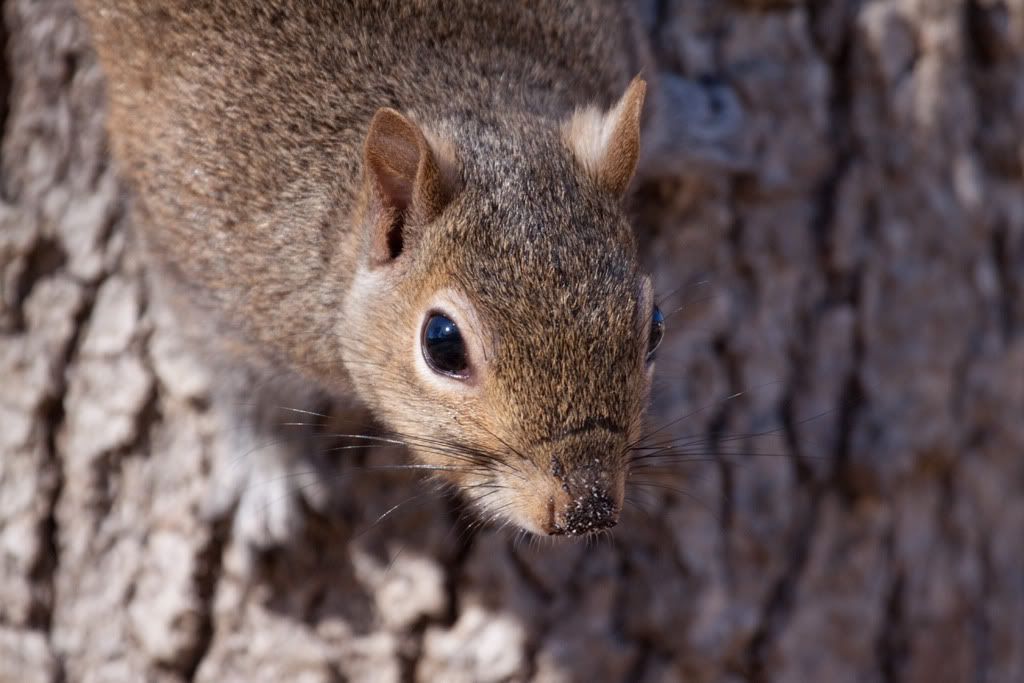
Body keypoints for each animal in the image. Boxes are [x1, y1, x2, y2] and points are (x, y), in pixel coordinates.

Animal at [74, 0, 708, 543]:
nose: (588, 508)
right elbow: (237, 379)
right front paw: (268, 470)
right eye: (442, 343)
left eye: (655, 328)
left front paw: (699, 125)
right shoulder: (200, 260)